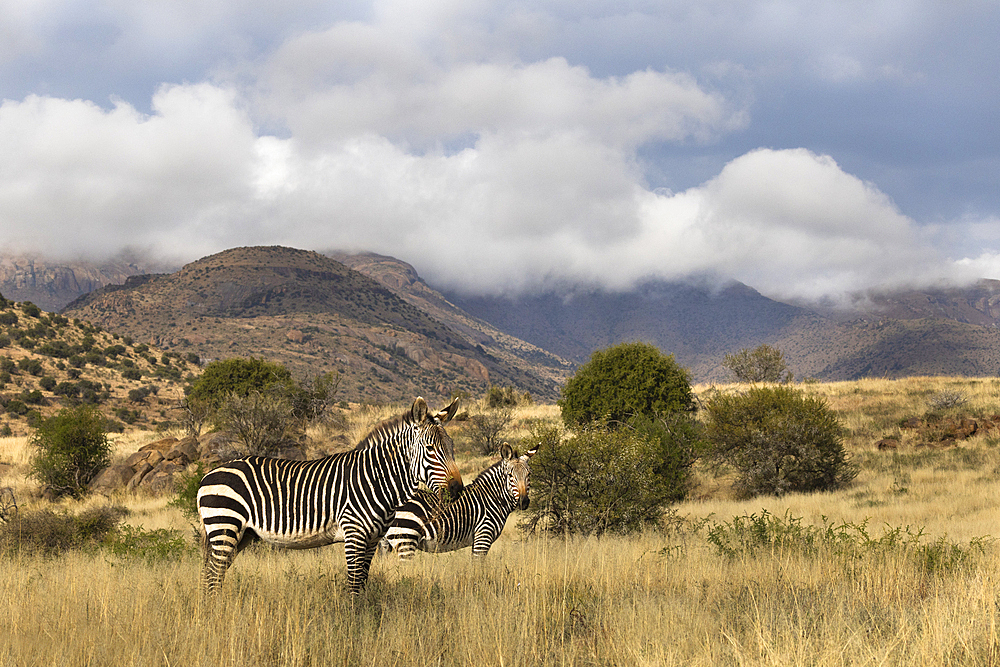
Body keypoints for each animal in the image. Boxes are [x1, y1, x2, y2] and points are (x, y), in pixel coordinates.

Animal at [195, 396, 464, 596]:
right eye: (430, 449)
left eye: (452, 448)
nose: (457, 490)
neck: (376, 479)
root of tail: (207, 477)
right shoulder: (354, 535)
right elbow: (353, 585)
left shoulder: (372, 540)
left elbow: (362, 583)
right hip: (224, 525)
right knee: (213, 575)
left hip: (242, 534)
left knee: (214, 574)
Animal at [382, 444, 540, 564]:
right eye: (510, 476)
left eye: (529, 474)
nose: (524, 502)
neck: (493, 499)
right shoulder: (483, 536)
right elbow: (478, 569)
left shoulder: (477, 540)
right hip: (405, 539)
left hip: (386, 542)